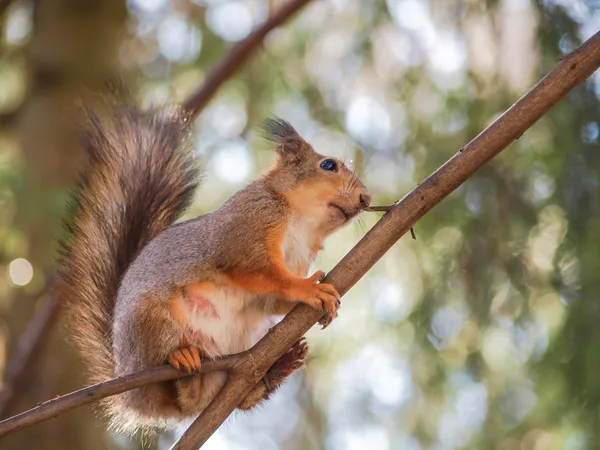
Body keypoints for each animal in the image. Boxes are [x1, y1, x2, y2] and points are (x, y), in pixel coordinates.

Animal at [58, 105, 372, 436]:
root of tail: (130, 395)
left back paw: (273, 370)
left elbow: (271, 300)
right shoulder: (248, 228)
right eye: (328, 165)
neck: (303, 221)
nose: (366, 199)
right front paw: (309, 288)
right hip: (149, 322)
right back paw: (182, 360)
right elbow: (260, 272)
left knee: (221, 400)